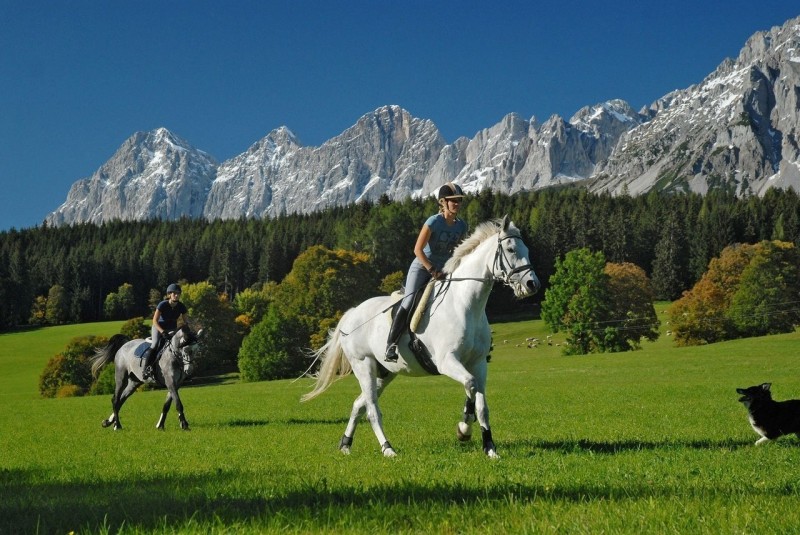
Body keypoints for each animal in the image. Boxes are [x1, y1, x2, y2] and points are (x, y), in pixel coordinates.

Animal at [304, 216, 540, 458]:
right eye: (510, 249)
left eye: (527, 249)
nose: (532, 284)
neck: (465, 304)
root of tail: (351, 314)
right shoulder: (446, 361)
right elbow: (470, 385)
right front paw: (463, 429)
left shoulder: (478, 363)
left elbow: (481, 404)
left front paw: (489, 448)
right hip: (364, 365)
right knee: (371, 410)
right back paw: (388, 449)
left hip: (386, 373)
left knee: (359, 404)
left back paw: (345, 444)